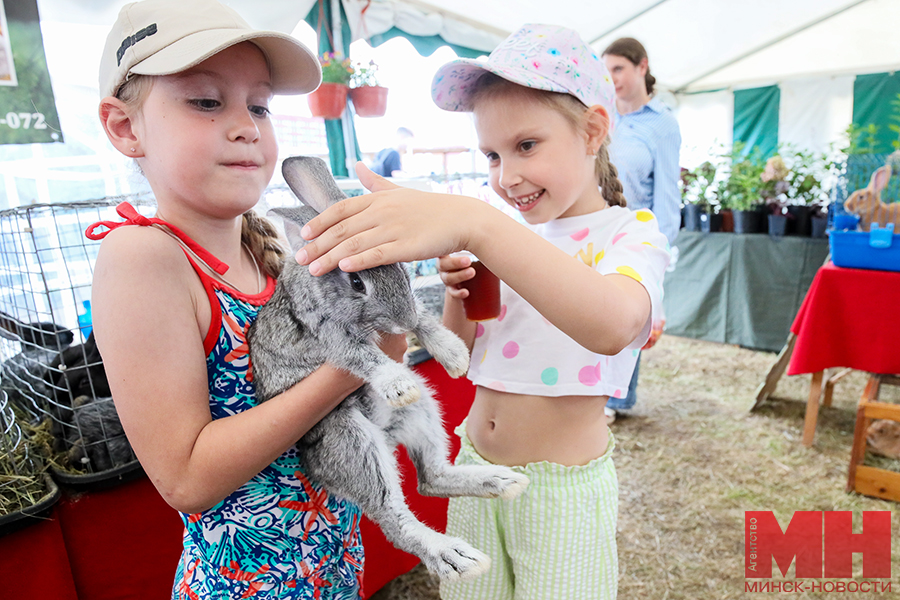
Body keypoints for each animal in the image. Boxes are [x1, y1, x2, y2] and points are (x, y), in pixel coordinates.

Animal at [248, 155, 528, 580]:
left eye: (399, 267)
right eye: (356, 281)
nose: (400, 319)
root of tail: (384, 431)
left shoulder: (412, 313)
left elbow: (424, 321)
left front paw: (454, 356)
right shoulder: (332, 335)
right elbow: (365, 357)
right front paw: (399, 384)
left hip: (424, 414)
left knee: (430, 479)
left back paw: (502, 481)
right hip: (350, 437)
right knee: (393, 517)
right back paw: (456, 557)